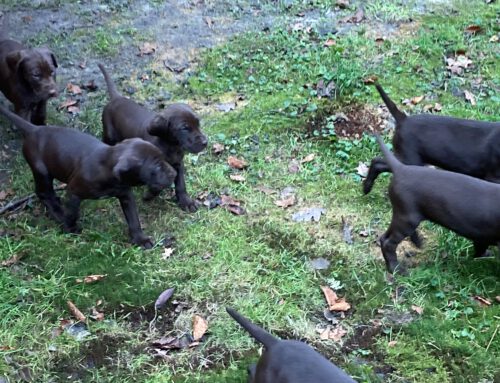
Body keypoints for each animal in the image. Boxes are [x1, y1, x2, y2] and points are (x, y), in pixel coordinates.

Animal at [0, 105, 177, 249]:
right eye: (157, 167)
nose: (174, 174)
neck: (107, 167)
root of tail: (33, 129)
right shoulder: (74, 190)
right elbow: (72, 213)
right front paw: (69, 228)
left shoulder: (125, 194)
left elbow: (133, 219)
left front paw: (140, 239)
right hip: (42, 171)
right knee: (43, 193)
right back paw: (57, 213)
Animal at [97, 63, 207, 213]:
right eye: (184, 128)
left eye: (198, 123)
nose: (205, 142)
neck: (171, 145)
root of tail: (116, 98)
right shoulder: (154, 166)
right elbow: (159, 183)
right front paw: (149, 195)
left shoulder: (178, 163)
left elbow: (180, 183)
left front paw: (185, 201)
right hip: (109, 134)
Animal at [364, 83, 500, 194]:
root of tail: (403, 119)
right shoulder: (493, 177)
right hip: (410, 160)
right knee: (379, 162)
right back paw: (367, 187)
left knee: (377, 161)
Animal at [376, 134, 500, 274]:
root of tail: (400, 168)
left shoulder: (482, 235)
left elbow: (480, 246)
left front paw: (484, 256)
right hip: (407, 217)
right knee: (388, 243)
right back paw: (396, 269)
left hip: (403, 215)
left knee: (385, 237)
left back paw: (416, 243)